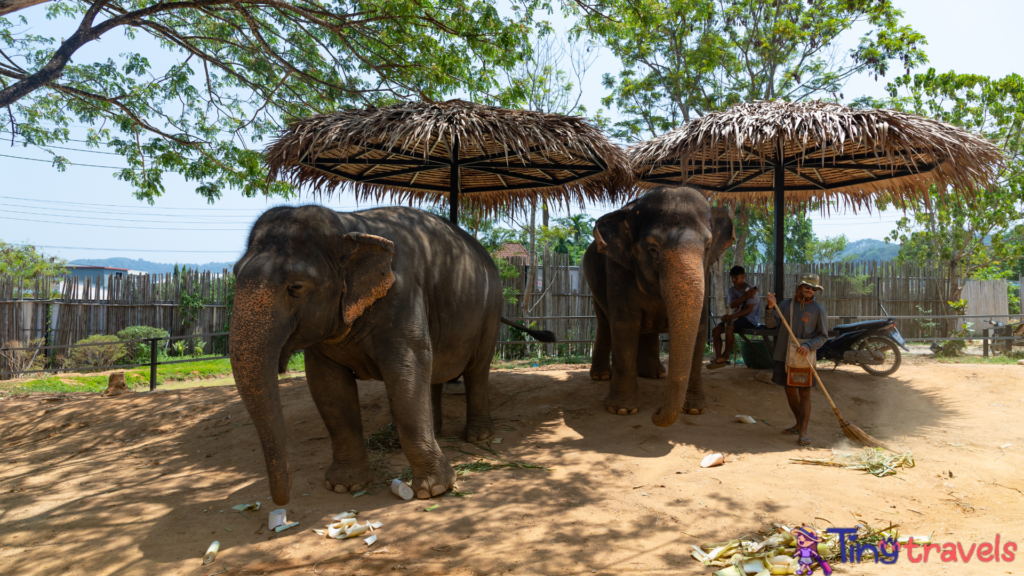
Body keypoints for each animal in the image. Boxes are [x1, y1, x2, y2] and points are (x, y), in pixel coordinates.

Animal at [231, 203, 552, 500]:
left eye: (296, 287)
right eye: (234, 273)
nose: (282, 503)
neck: (349, 228)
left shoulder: (402, 294)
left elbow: (406, 373)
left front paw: (434, 490)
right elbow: (329, 390)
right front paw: (345, 485)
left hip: (489, 310)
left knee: (476, 369)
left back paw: (478, 436)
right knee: (434, 371)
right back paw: (434, 431)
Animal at [581, 186, 733, 424]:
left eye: (708, 247)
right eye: (652, 250)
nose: (656, 412)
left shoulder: (706, 273)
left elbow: (699, 329)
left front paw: (695, 410)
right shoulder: (618, 269)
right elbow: (624, 325)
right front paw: (622, 410)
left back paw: (654, 374)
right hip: (593, 285)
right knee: (605, 323)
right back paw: (602, 376)